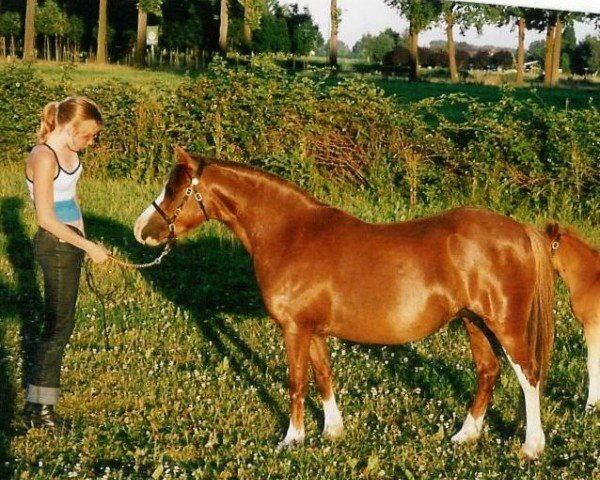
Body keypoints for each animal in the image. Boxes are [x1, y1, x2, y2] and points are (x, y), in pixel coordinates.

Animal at [134, 148, 556, 460]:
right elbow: (323, 375)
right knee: (488, 372)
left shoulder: (294, 329)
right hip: (474, 321)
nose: (142, 231)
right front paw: (332, 431)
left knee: (529, 376)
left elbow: (297, 382)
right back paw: (465, 436)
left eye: (173, 189)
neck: (290, 233)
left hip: (505, 324)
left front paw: (292, 438)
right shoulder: (313, 330)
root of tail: (521, 231)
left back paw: (532, 447)